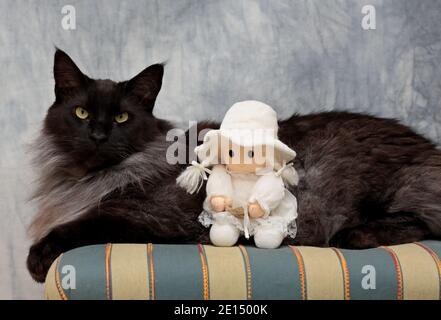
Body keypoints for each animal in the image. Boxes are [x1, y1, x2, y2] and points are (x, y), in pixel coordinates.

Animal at [26, 48, 440, 282]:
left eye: (122, 118)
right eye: (81, 113)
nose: (98, 134)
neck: (89, 178)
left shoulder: (146, 216)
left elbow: (79, 225)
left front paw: (38, 258)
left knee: (420, 222)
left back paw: (352, 236)